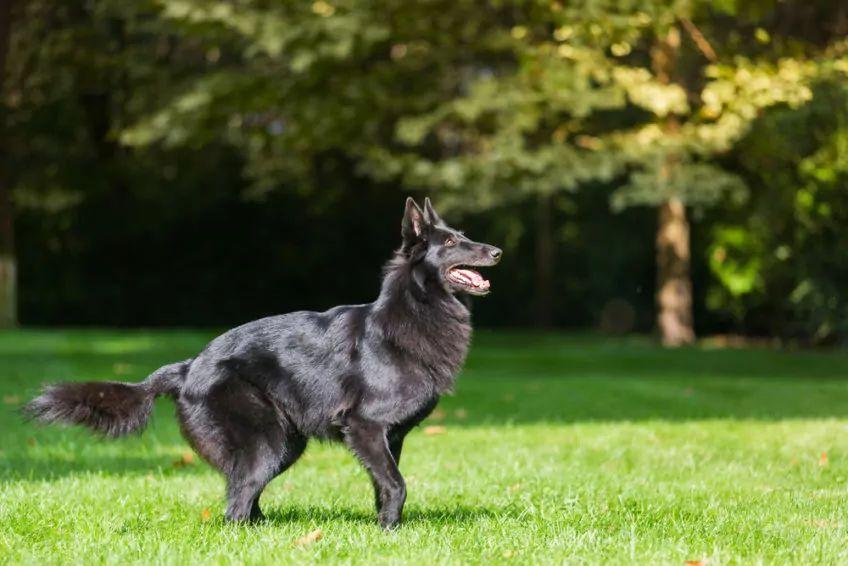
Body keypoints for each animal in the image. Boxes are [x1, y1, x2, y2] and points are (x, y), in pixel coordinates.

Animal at [26, 197, 500, 532]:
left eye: (464, 235)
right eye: (452, 243)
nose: (496, 252)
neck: (413, 312)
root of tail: (188, 367)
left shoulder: (389, 437)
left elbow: (384, 486)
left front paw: (388, 532)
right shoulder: (365, 427)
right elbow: (397, 484)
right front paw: (387, 534)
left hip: (286, 443)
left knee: (243, 499)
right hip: (266, 442)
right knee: (235, 506)